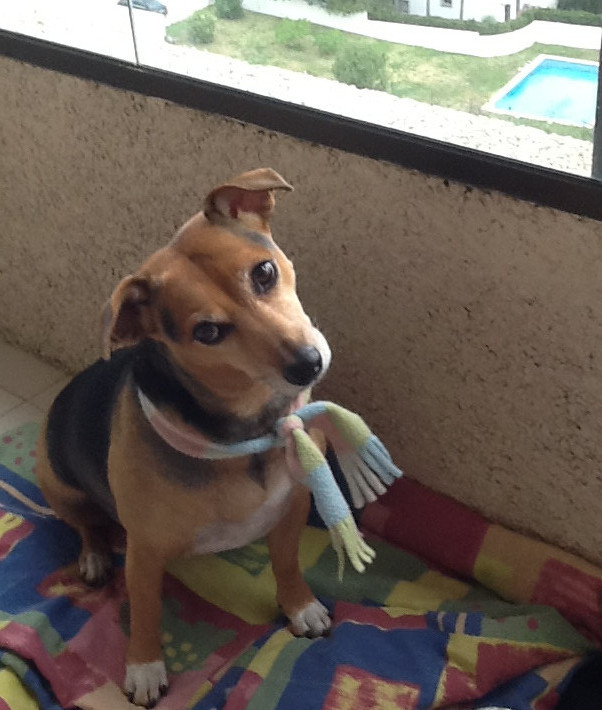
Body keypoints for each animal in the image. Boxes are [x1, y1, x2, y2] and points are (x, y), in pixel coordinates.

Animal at [34, 170, 330, 708]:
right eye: (208, 332)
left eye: (264, 273)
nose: (308, 364)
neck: (247, 433)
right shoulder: (145, 553)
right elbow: (146, 611)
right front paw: (145, 667)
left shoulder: (294, 506)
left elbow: (287, 563)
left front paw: (300, 606)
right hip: (55, 480)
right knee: (84, 525)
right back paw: (93, 556)